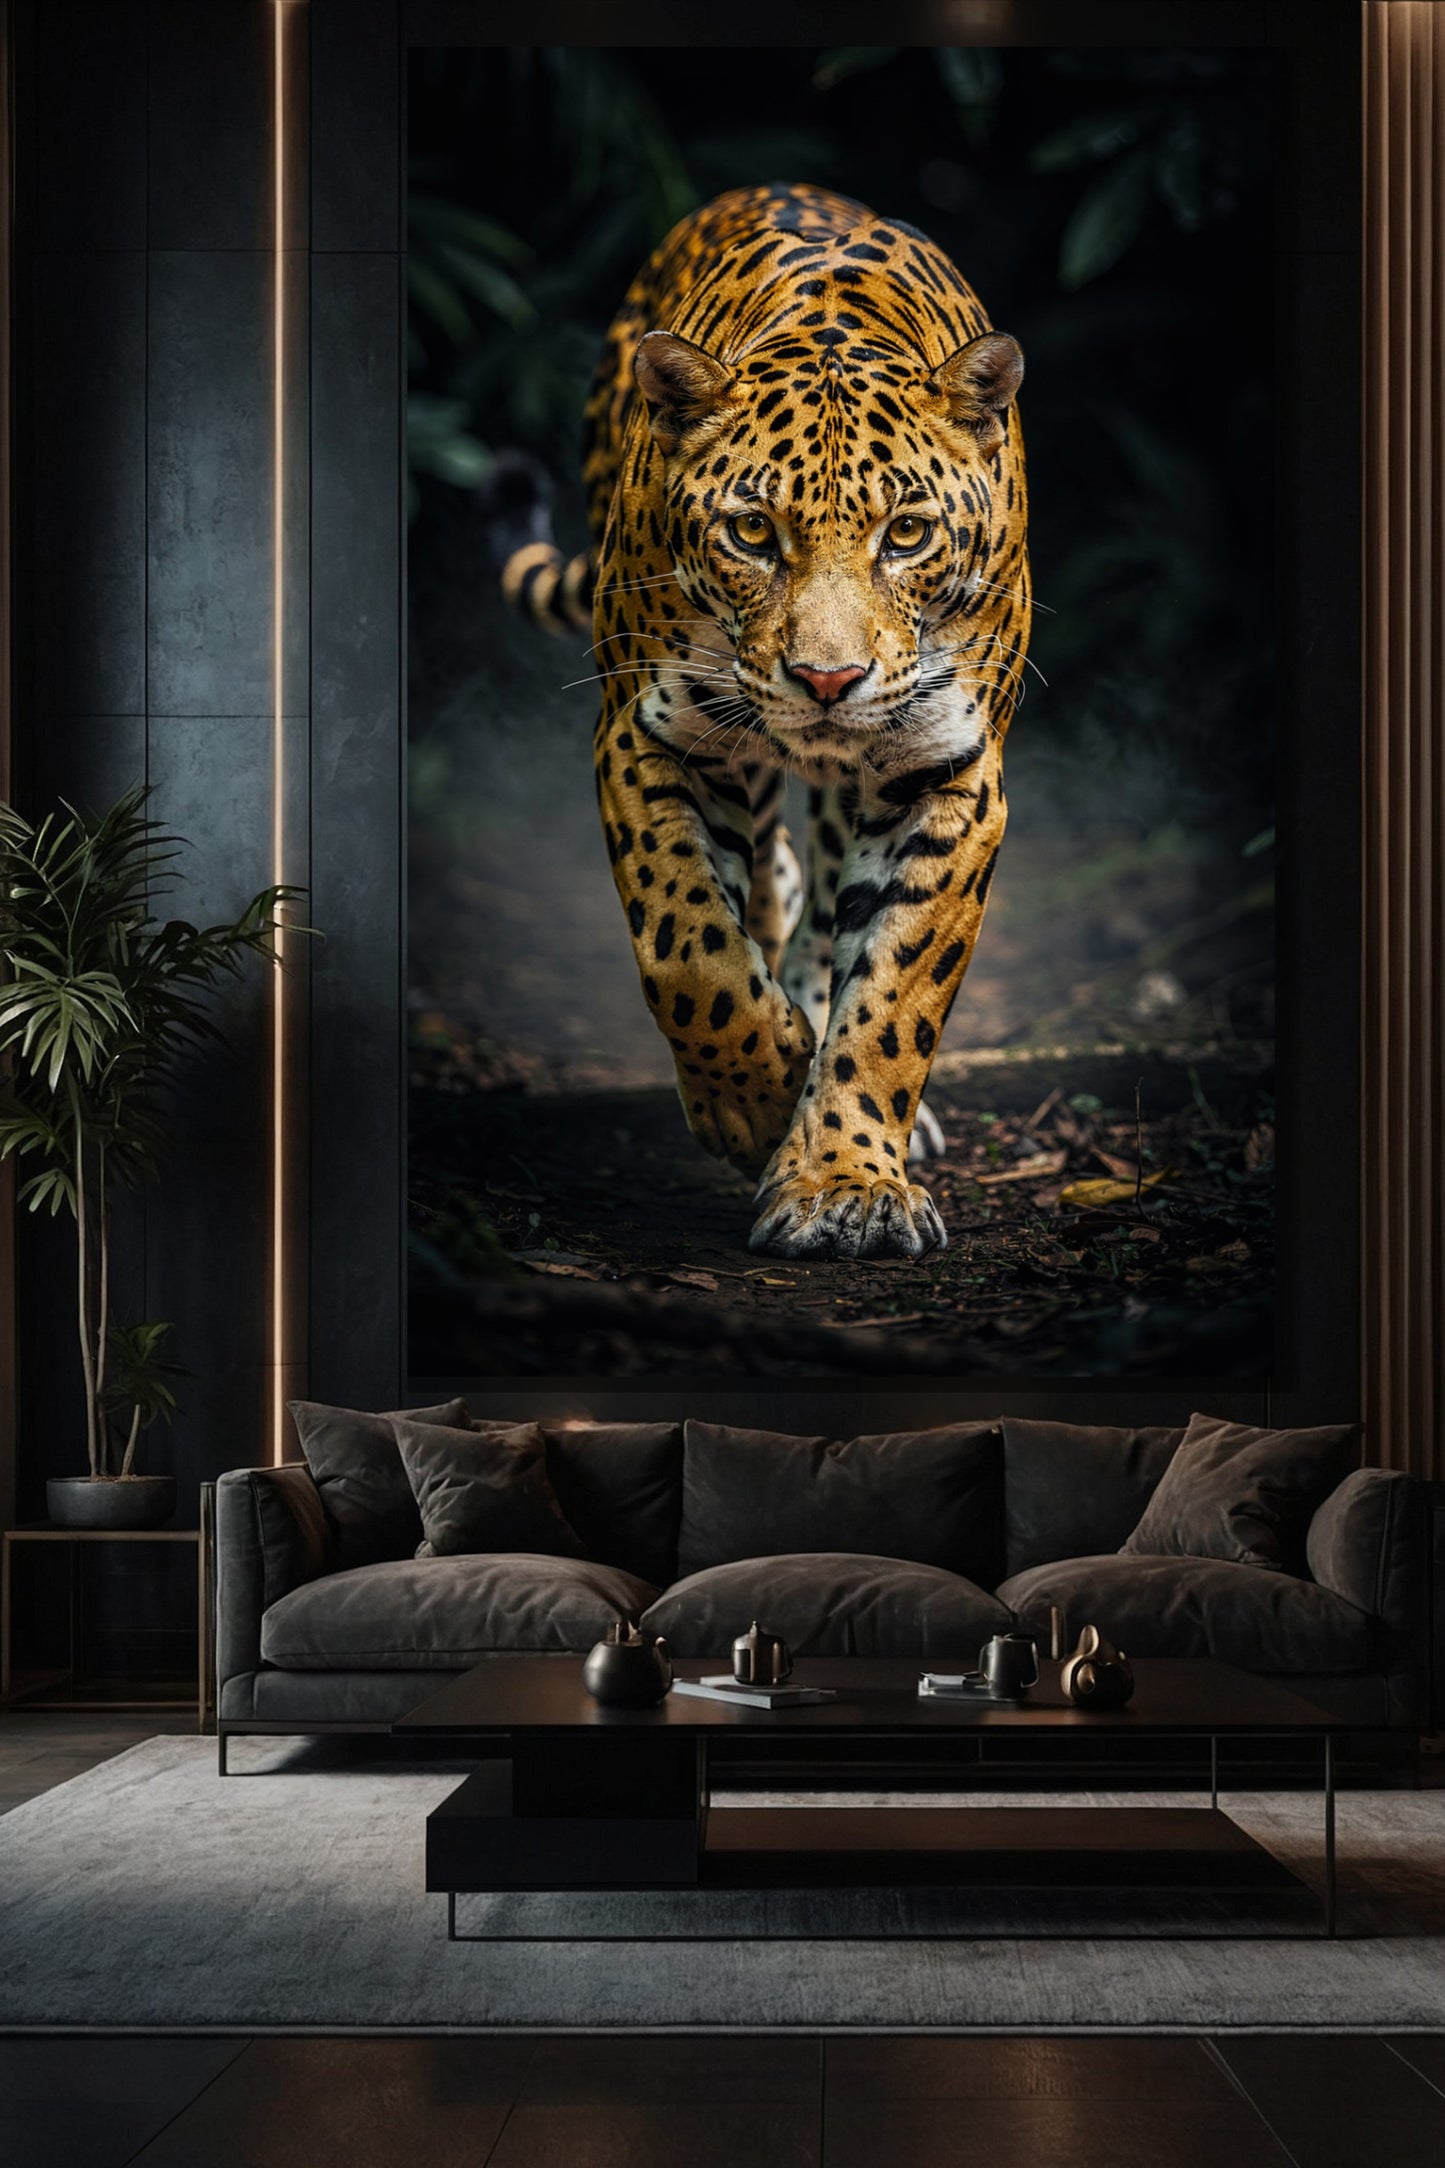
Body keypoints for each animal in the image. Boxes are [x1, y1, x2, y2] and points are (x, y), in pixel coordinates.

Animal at [500, 183, 1029, 1260]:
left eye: (905, 533)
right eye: (751, 531)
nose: (828, 679)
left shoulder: (949, 770)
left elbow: (895, 990)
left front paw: (843, 1181)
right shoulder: (649, 737)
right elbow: (688, 946)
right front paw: (754, 1104)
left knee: (822, 900)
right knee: (768, 887)